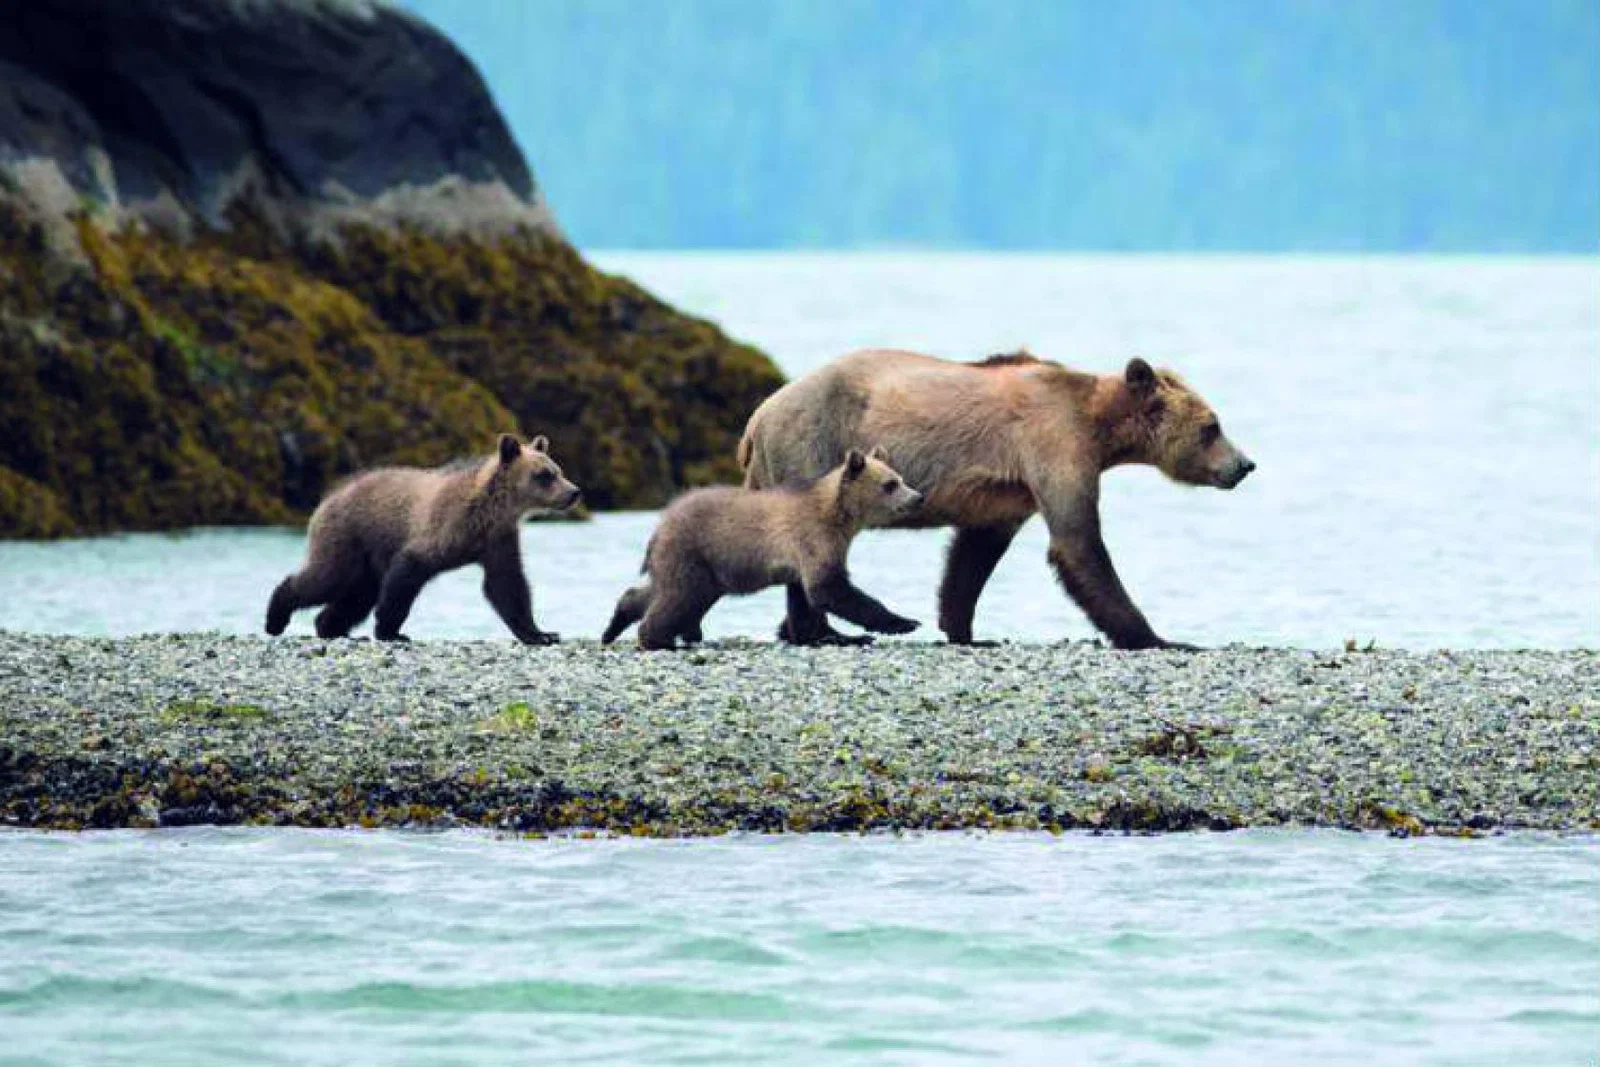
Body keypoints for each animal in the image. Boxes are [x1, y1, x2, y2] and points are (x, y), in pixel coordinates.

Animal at [265, 434, 581, 644]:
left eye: (558, 470)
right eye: (544, 475)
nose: (574, 492)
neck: (490, 511)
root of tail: (329, 496)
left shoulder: (497, 539)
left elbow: (508, 585)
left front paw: (541, 633)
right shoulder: (442, 530)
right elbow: (407, 574)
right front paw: (391, 631)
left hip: (366, 557)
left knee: (357, 594)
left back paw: (330, 628)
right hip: (347, 536)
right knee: (327, 578)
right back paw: (276, 619)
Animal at [601, 447, 924, 650]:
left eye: (901, 478)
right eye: (890, 484)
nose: (918, 497)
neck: (839, 517)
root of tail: (661, 522)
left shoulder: (803, 555)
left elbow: (804, 599)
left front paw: (834, 637)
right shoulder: (814, 538)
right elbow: (830, 588)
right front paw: (904, 622)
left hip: (704, 566)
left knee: (665, 591)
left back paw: (616, 625)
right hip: (693, 550)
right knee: (678, 597)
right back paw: (658, 640)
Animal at [738, 349, 1255, 650]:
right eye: (1212, 427)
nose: (1245, 465)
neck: (1101, 427)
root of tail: (759, 414)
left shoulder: (1011, 489)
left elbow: (974, 555)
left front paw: (962, 629)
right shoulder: (1055, 445)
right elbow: (1079, 543)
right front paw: (1159, 637)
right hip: (814, 443)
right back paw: (825, 631)